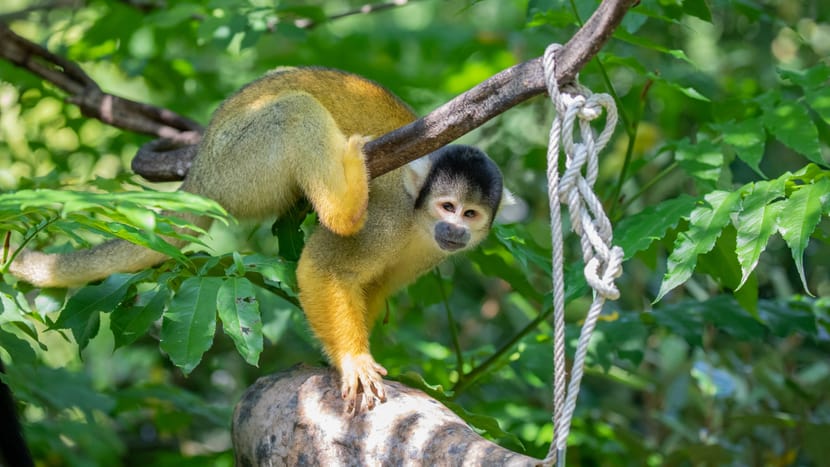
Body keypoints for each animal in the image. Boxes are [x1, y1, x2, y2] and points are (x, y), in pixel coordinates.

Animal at [9, 66, 510, 414]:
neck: (417, 223)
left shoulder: (427, 255)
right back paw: (347, 195)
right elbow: (323, 269)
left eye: (470, 215)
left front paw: (340, 358)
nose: (455, 230)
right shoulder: (387, 217)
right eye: (447, 207)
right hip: (243, 159)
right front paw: (353, 360)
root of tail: (202, 168)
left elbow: (373, 287)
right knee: (293, 112)